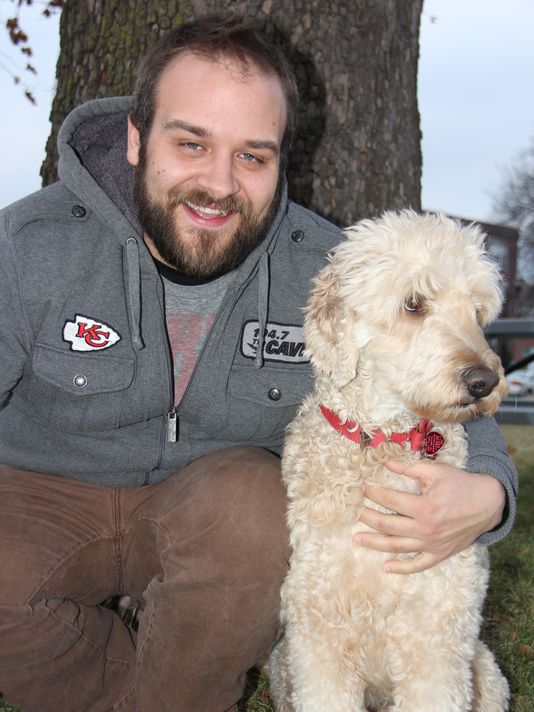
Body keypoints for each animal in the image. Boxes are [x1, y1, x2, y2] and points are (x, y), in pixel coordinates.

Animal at [270, 211, 512, 712]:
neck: (381, 442)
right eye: (414, 304)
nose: (484, 381)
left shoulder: (437, 636)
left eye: (477, 311)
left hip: (487, 670)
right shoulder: (318, 631)